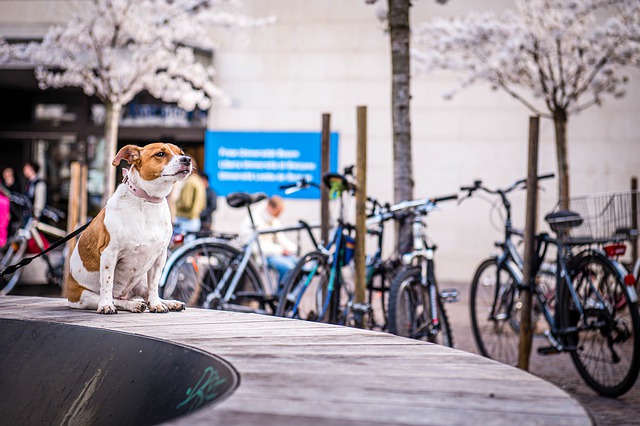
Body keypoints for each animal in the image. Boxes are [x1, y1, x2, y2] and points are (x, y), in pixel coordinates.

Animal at [69, 143, 192, 312]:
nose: (187, 159)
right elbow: (107, 283)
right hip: (83, 296)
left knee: (145, 293)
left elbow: (154, 285)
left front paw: (156, 304)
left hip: (140, 281)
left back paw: (167, 303)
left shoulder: (160, 256)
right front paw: (106, 305)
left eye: (181, 153)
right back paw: (131, 304)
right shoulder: (109, 253)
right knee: (115, 299)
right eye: (160, 154)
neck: (147, 202)